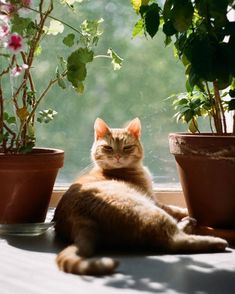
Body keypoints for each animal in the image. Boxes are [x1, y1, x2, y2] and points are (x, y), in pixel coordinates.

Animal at [53, 117, 228, 276]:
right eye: (108, 148)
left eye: (127, 147)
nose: (117, 156)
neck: (119, 171)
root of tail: (79, 217)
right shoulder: (155, 201)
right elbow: (177, 209)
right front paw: (187, 212)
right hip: (149, 210)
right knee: (174, 241)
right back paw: (215, 241)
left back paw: (188, 223)